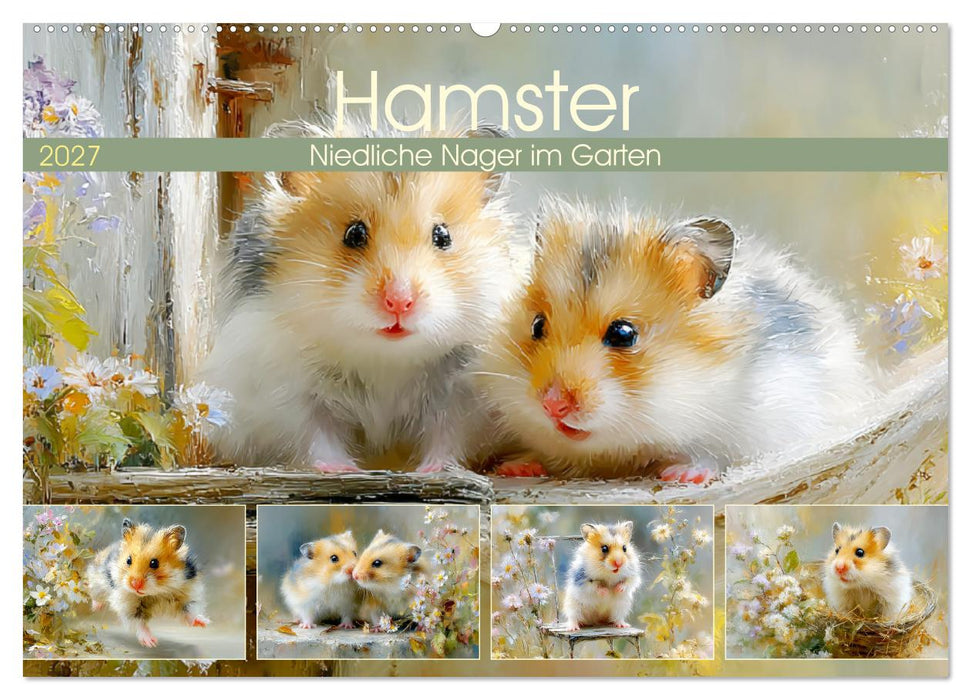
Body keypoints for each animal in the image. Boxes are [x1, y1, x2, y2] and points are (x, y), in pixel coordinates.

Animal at [86, 518, 207, 648]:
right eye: (128, 560)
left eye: (154, 563)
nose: (135, 584)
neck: (156, 592)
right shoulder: (128, 605)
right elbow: (139, 623)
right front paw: (151, 642)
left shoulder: (188, 593)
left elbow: (189, 611)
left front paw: (203, 623)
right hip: (97, 583)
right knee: (95, 595)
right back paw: (97, 607)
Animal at [200, 118, 527, 473]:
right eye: (354, 234)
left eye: (443, 236)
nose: (399, 301)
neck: (384, 358)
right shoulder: (286, 390)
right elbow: (317, 435)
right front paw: (344, 469)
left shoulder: (461, 393)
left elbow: (448, 436)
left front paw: (431, 470)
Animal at [480, 198, 870, 483]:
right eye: (537, 326)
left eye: (623, 334)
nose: (552, 405)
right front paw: (516, 467)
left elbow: (712, 454)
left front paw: (681, 475)